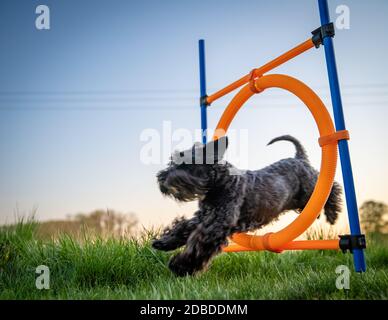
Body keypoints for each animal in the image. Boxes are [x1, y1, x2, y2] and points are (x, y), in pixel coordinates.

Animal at [153, 135, 342, 276]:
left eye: (186, 163)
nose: (161, 178)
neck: (220, 183)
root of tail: (299, 158)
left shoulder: (216, 225)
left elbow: (198, 245)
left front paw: (180, 266)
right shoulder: (203, 218)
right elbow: (182, 227)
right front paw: (163, 242)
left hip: (310, 189)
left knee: (332, 188)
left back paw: (332, 214)